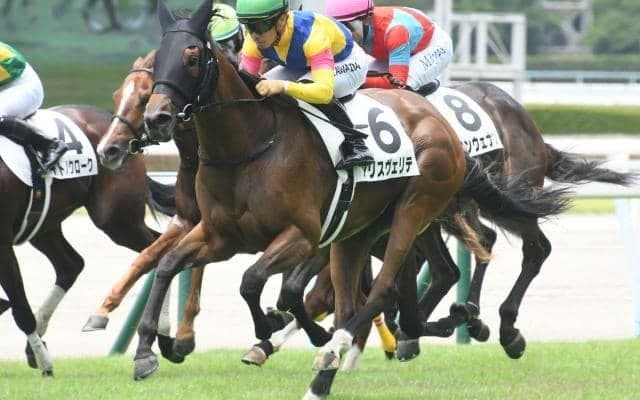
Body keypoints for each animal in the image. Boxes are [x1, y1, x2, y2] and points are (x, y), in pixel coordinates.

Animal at [0, 104, 175, 376]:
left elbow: (20, 307)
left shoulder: (3, 244)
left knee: (156, 252)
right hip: (44, 224)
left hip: (117, 220)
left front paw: (46, 364)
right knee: (71, 264)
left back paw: (162, 336)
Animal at [133, 2, 569, 398]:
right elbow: (169, 265)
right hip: (361, 231)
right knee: (400, 288)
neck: (251, 147)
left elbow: (256, 282)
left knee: (394, 285)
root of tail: (442, 124)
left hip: (418, 209)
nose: (156, 119)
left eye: (192, 56)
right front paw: (147, 350)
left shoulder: (303, 236)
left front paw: (273, 331)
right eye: (158, 59)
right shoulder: (221, 236)